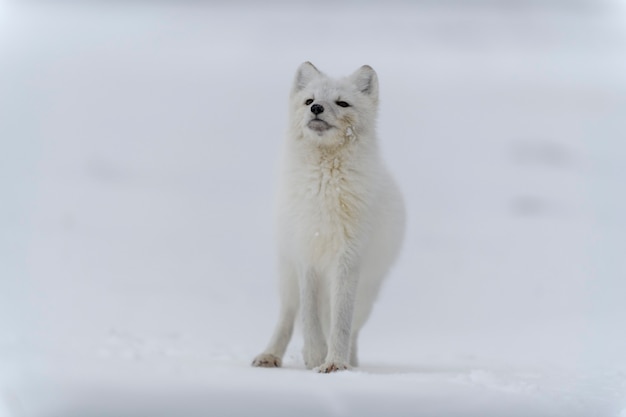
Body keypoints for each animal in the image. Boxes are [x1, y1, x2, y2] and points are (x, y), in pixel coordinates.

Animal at [252, 63, 404, 372]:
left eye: (342, 103)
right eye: (309, 100)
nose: (317, 108)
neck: (325, 183)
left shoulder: (348, 258)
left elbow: (341, 321)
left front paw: (335, 363)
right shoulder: (307, 254)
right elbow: (309, 316)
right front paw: (315, 354)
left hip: (367, 293)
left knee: (353, 327)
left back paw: (352, 362)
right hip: (287, 276)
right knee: (287, 316)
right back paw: (270, 355)